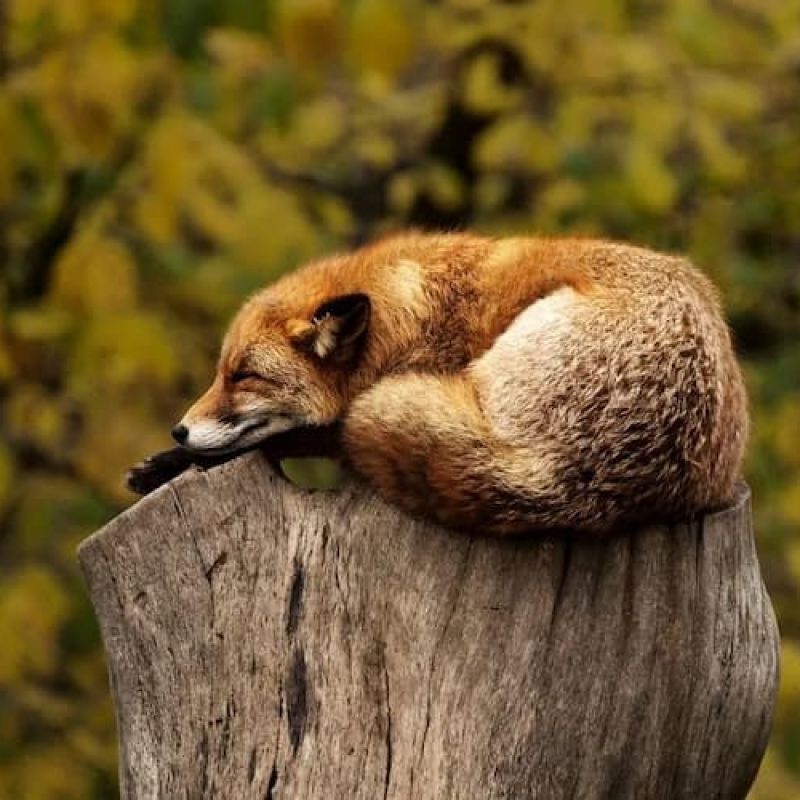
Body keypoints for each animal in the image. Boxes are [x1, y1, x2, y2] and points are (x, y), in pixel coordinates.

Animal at [128, 231, 748, 535]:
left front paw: (173, 462)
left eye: (244, 376)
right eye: (220, 372)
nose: (179, 429)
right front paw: (166, 461)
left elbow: (304, 435)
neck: (410, 316)